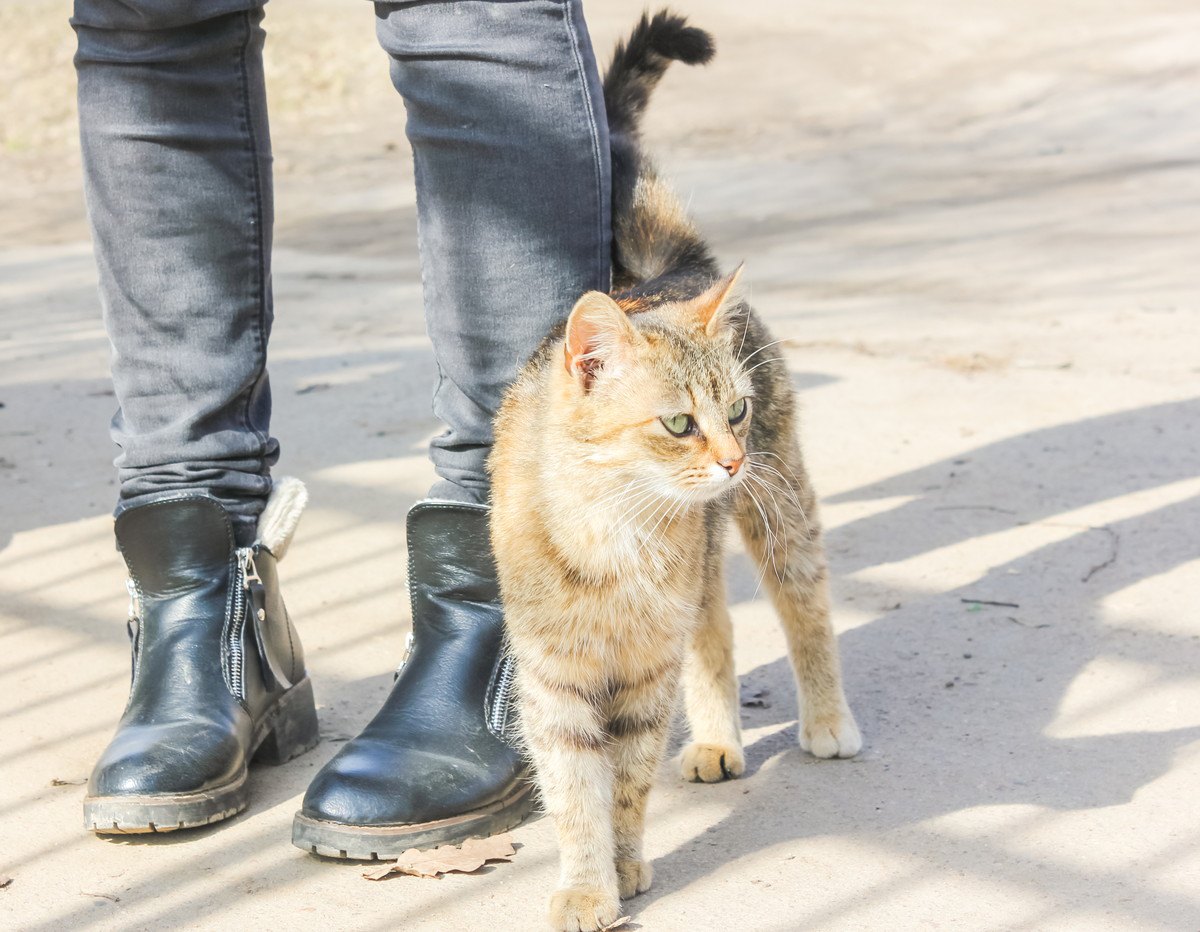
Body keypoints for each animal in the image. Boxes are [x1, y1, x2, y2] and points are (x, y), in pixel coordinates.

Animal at [487, 9, 864, 930]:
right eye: (677, 423)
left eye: (734, 410)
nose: (730, 458)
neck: (612, 535)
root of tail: (670, 273)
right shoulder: (554, 678)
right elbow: (573, 791)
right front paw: (586, 883)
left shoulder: (644, 674)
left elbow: (624, 785)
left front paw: (621, 869)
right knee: (717, 635)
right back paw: (720, 741)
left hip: (781, 510)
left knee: (805, 612)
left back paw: (826, 719)